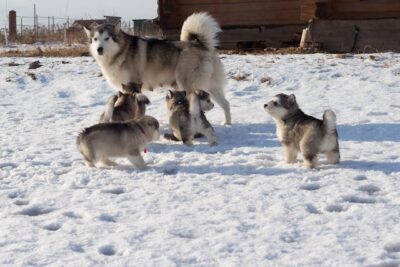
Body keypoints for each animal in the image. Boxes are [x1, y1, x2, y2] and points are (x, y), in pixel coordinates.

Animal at [83, 12, 231, 125]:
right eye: (95, 39)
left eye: (107, 38)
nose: (99, 49)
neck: (120, 52)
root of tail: (201, 44)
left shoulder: (134, 85)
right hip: (210, 85)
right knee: (226, 103)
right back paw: (227, 123)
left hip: (189, 85)